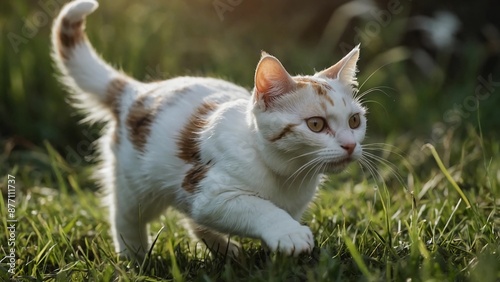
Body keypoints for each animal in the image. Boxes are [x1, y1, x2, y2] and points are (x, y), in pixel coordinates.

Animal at [51, 0, 368, 258]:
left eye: (355, 121)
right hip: (135, 184)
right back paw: (136, 261)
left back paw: (225, 251)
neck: (287, 174)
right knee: (127, 218)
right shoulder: (211, 193)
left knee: (191, 220)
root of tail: (137, 91)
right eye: (316, 124)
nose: (350, 145)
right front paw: (288, 232)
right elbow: (259, 208)